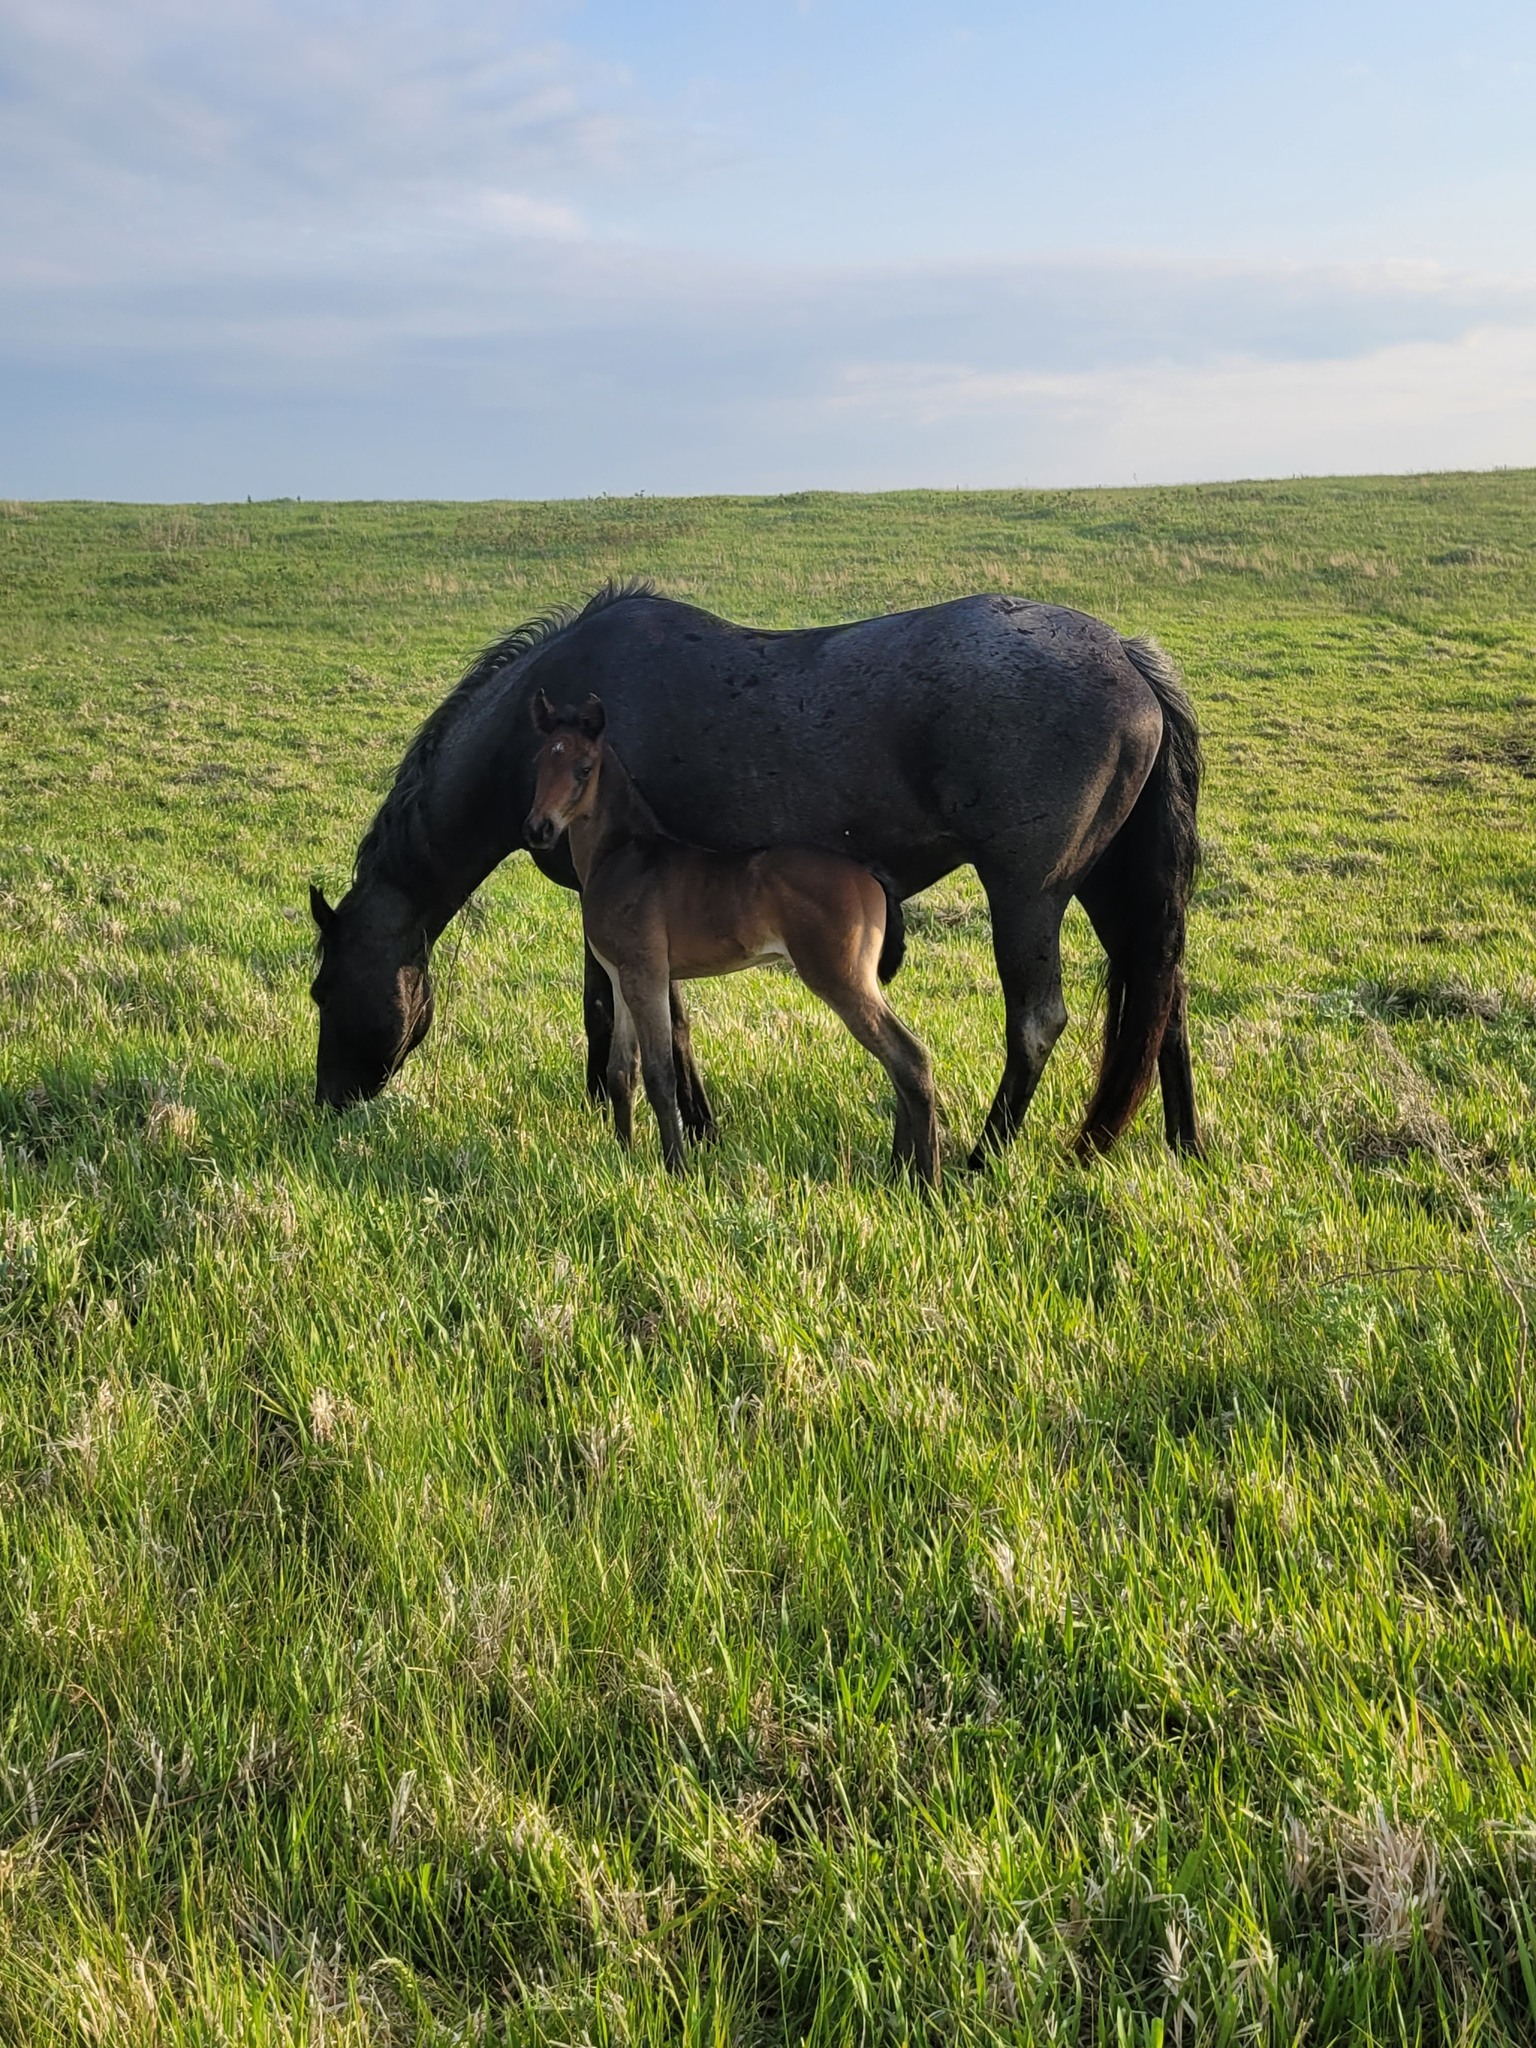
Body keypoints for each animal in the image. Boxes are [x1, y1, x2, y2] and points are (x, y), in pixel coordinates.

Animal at [523, 689, 940, 1182]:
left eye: (583, 768)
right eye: (539, 760)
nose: (539, 829)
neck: (623, 855)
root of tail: (871, 875)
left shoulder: (646, 974)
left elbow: (661, 1074)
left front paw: (676, 1168)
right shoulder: (620, 976)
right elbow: (621, 1071)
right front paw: (623, 1159)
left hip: (841, 979)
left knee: (909, 1058)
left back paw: (926, 1180)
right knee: (897, 1065)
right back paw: (901, 1172)